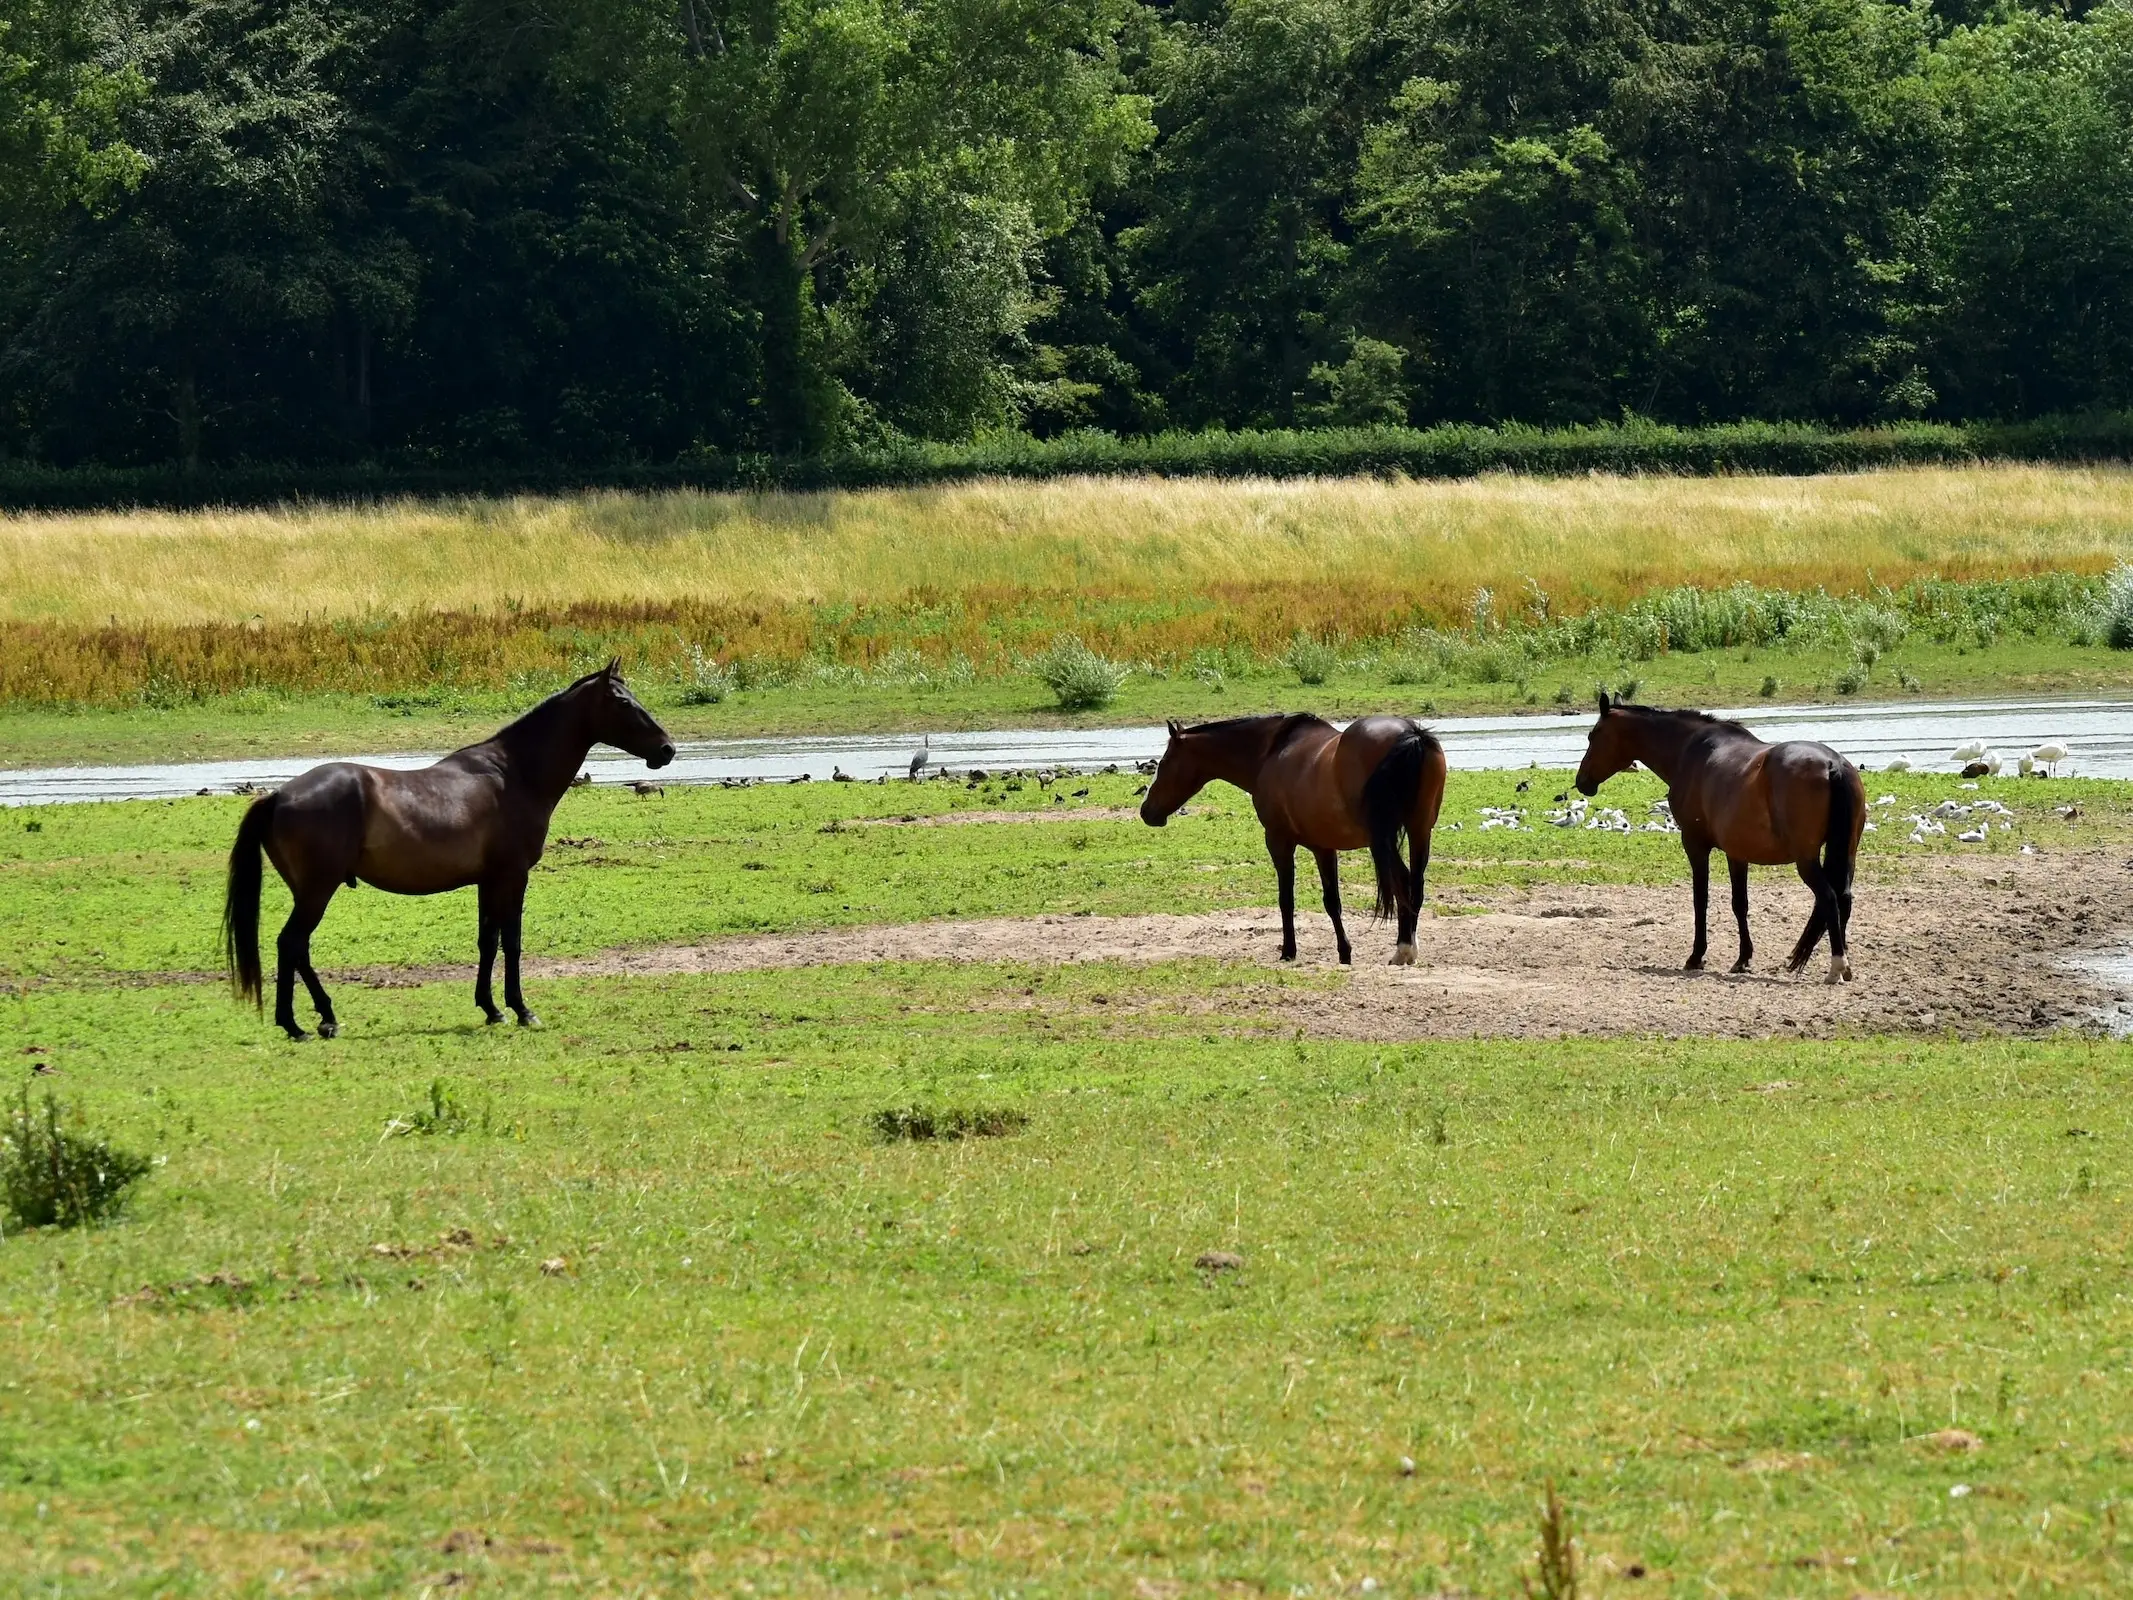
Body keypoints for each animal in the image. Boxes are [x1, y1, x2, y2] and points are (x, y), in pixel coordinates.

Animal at [220, 661, 669, 1041]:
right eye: (624, 703)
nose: (666, 749)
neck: (514, 774)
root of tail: (279, 795)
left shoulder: (488, 881)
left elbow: (488, 940)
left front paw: (491, 1009)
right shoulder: (513, 876)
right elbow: (512, 941)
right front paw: (522, 1010)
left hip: (309, 892)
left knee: (297, 948)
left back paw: (318, 1019)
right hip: (317, 890)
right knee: (291, 943)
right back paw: (300, 1023)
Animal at [1134, 721, 1450, 972]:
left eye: (1164, 763)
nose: (1146, 811)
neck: (1269, 753)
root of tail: (1412, 734)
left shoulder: (1278, 840)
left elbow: (1286, 899)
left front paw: (1289, 951)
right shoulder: (1324, 847)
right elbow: (1332, 902)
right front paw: (1344, 953)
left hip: (1381, 840)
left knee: (1403, 882)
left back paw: (1403, 950)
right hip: (1419, 831)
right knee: (1415, 885)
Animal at [1569, 695, 1868, 985]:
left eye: (1593, 735)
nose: (1581, 781)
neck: (1689, 751)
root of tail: (1832, 764)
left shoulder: (1695, 845)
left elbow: (1700, 899)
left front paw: (1696, 956)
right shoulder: (1737, 852)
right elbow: (1740, 904)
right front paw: (1743, 959)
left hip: (1806, 860)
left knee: (1829, 898)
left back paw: (1836, 967)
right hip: (1846, 854)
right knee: (1844, 898)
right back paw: (1845, 965)